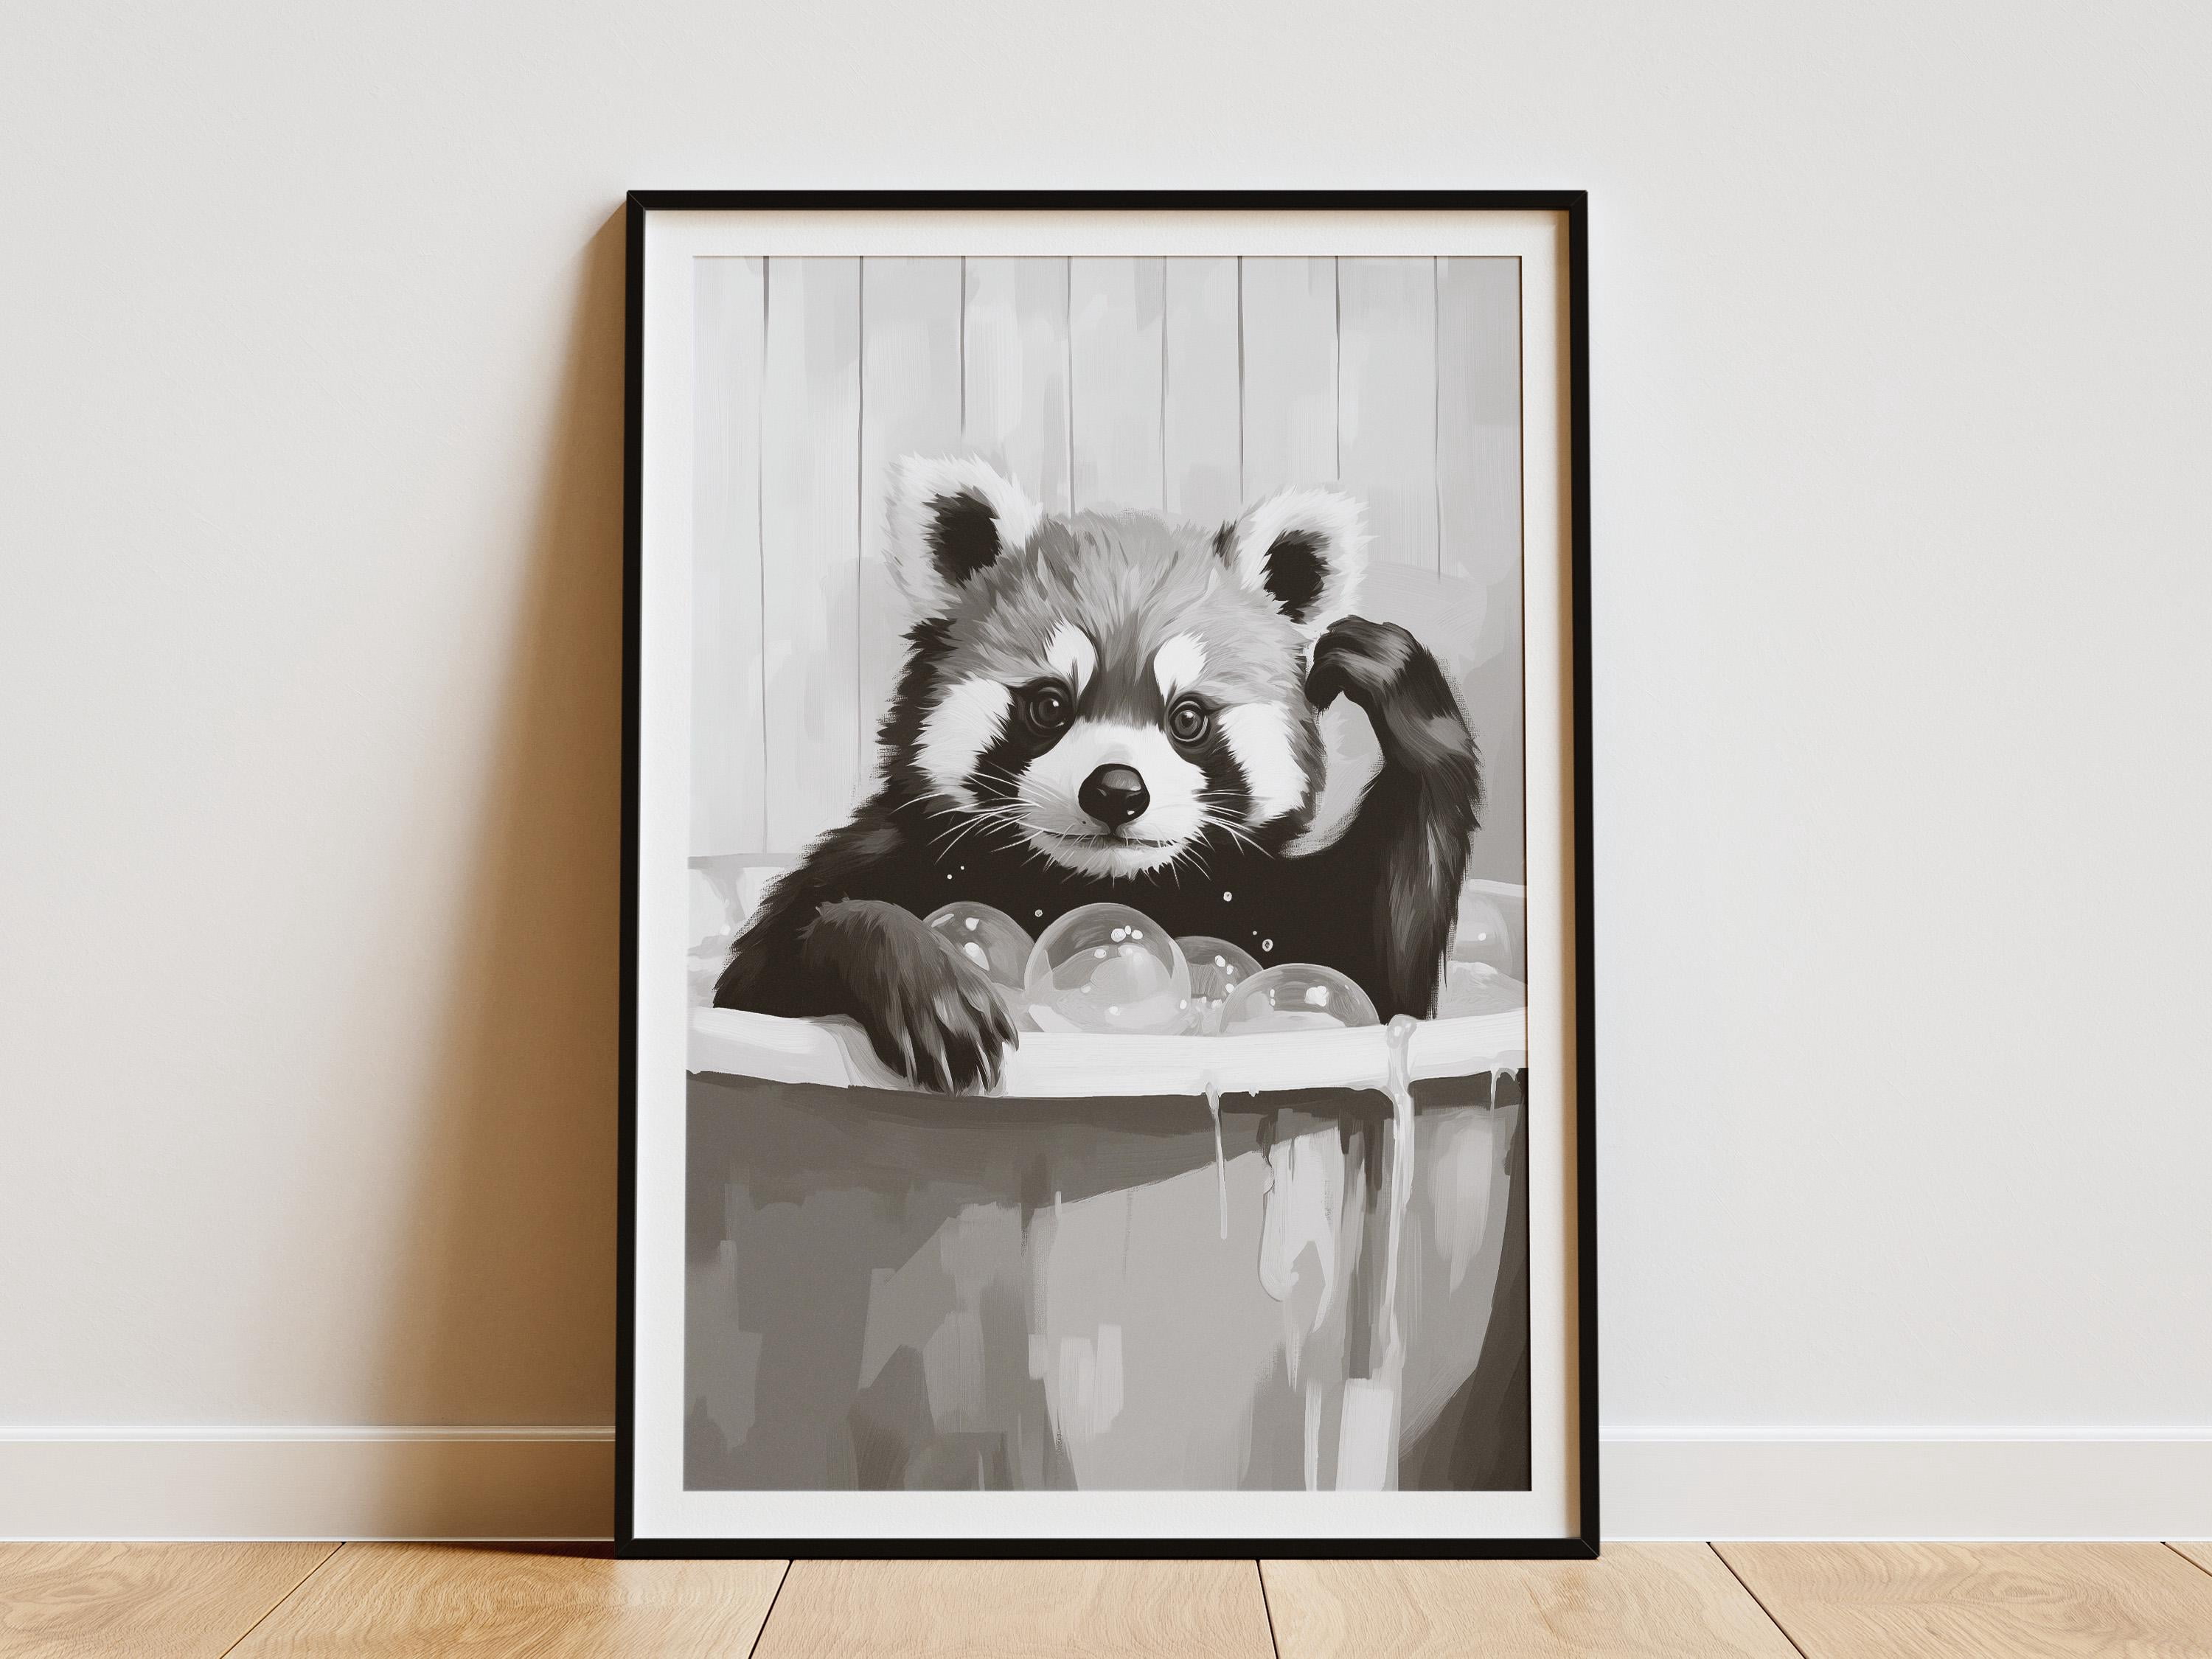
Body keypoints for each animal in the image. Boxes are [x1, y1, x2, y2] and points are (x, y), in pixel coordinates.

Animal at [714, 456, 1484, 1092]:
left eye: (1188, 718)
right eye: (1049, 705)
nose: (1117, 790)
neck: (1094, 888)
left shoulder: (1270, 902)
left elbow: (1380, 973)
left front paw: (1391, 675)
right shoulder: (890, 853)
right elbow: (769, 968)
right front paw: (929, 986)